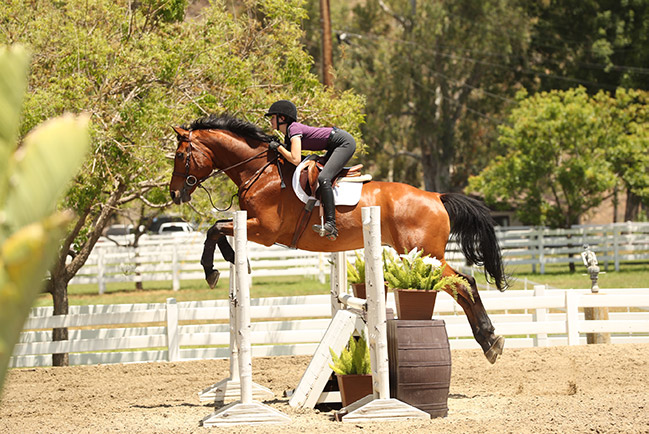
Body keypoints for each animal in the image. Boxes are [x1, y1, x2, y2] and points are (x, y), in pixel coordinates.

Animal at [167, 112, 506, 362]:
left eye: (181, 155)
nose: (174, 194)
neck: (260, 172)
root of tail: (436, 197)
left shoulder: (264, 230)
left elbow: (215, 228)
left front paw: (211, 269)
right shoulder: (251, 225)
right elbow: (218, 226)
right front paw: (229, 259)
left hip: (424, 254)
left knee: (463, 282)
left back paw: (490, 340)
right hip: (418, 254)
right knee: (460, 285)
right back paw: (489, 340)